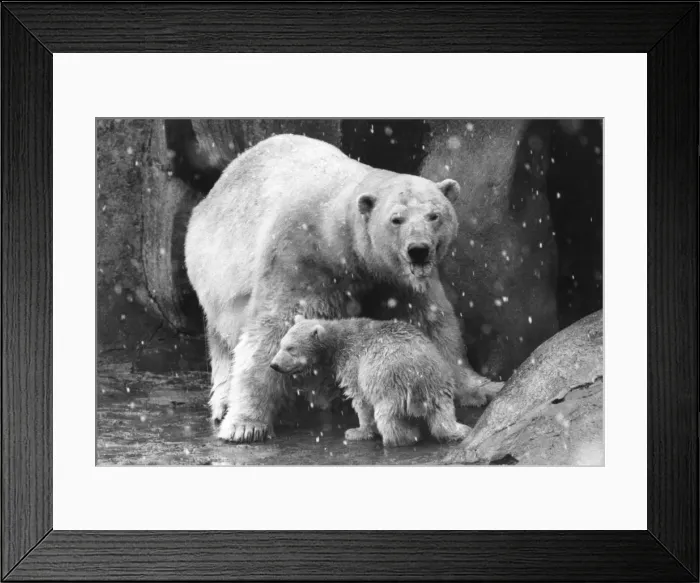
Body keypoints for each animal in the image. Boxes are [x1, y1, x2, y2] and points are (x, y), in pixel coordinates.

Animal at [270, 317, 472, 447]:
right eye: (281, 344)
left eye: (291, 348)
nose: (274, 365)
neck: (338, 340)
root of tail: (419, 373)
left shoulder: (353, 362)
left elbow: (360, 399)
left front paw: (357, 432)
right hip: (439, 382)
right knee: (443, 413)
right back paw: (459, 430)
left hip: (389, 381)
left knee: (387, 414)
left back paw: (405, 436)